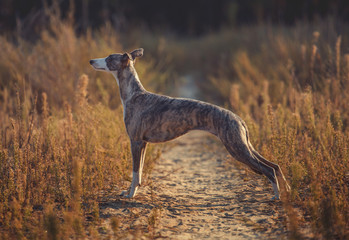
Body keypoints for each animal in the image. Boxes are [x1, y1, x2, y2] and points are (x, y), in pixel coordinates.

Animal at [89, 48, 288, 201]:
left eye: (109, 58)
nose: (91, 60)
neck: (134, 94)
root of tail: (238, 119)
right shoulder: (143, 143)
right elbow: (139, 173)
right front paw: (132, 192)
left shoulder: (136, 142)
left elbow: (135, 172)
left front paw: (130, 195)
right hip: (244, 146)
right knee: (275, 166)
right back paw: (287, 191)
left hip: (237, 148)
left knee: (269, 169)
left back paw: (277, 196)